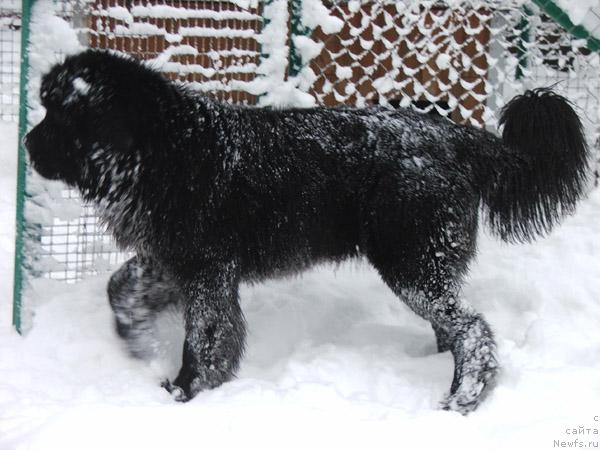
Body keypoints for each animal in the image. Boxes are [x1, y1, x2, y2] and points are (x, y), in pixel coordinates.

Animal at [25, 50, 588, 414]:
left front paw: (186, 392)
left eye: (61, 112)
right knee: (451, 326)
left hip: (411, 259)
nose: (28, 144)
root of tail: (461, 138)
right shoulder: (170, 259)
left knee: (471, 328)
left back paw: (460, 398)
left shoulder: (207, 270)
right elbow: (119, 287)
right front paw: (136, 340)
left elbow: (206, 337)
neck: (160, 150)